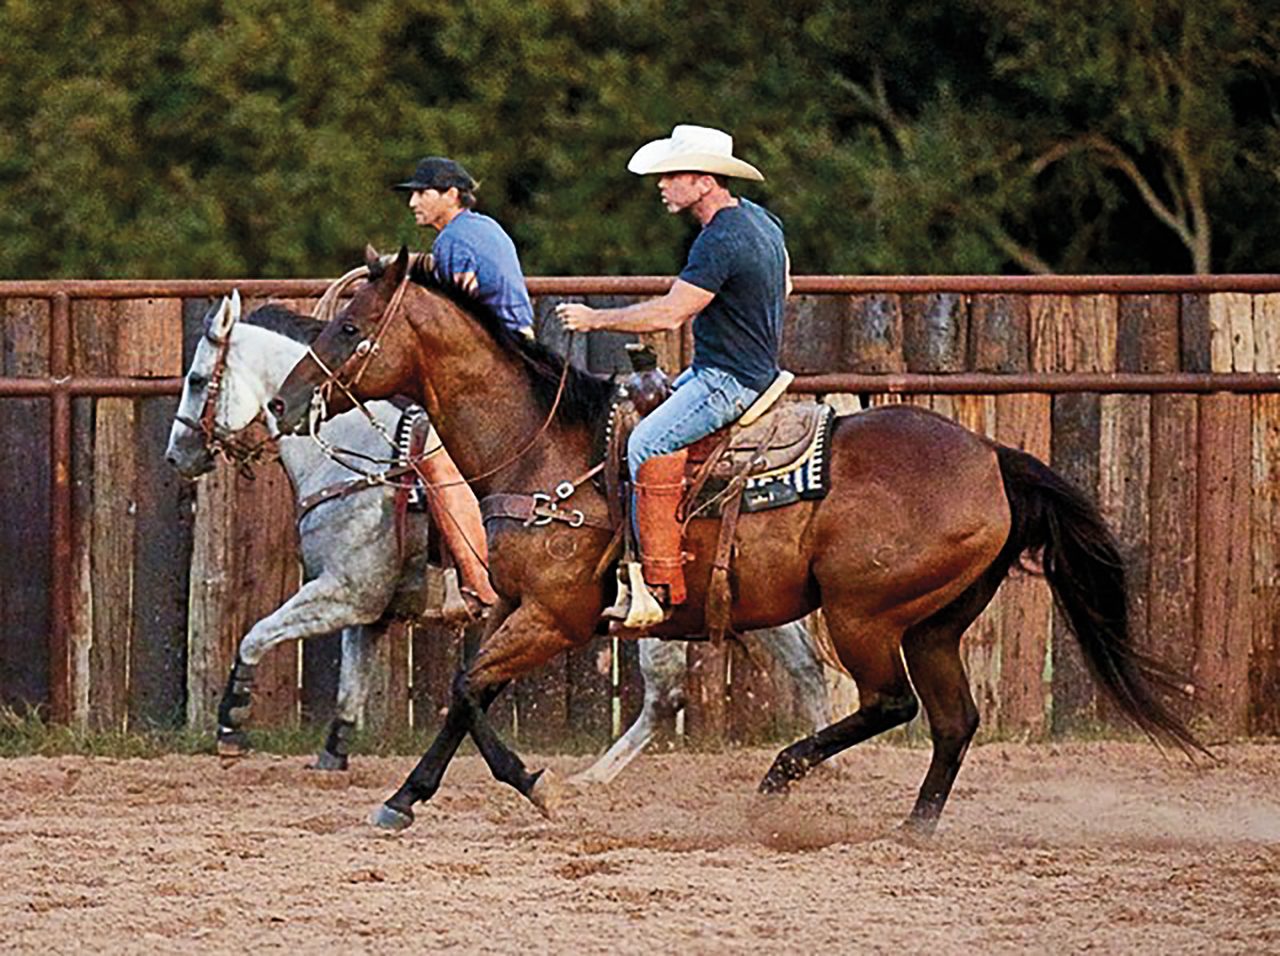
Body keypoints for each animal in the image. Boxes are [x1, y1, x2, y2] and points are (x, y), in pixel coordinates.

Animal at [165, 296, 834, 778]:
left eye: (197, 379)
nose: (178, 455)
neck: (358, 456)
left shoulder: (345, 591)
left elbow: (256, 633)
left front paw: (231, 721)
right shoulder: (371, 608)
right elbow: (352, 683)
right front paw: (333, 755)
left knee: (668, 695)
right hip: (748, 596)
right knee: (804, 671)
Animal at [270, 250, 1198, 834]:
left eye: (349, 329)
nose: (283, 405)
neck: (547, 448)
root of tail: (992, 457)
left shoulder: (557, 616)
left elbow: (466, 689)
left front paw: (520, 790)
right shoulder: (515, 608)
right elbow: (470, 695)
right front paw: (439, 794)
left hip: (866, 614)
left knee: (889, 705)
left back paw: (779, 781)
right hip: (935, 623)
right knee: (952, 721)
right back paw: (914, 826)